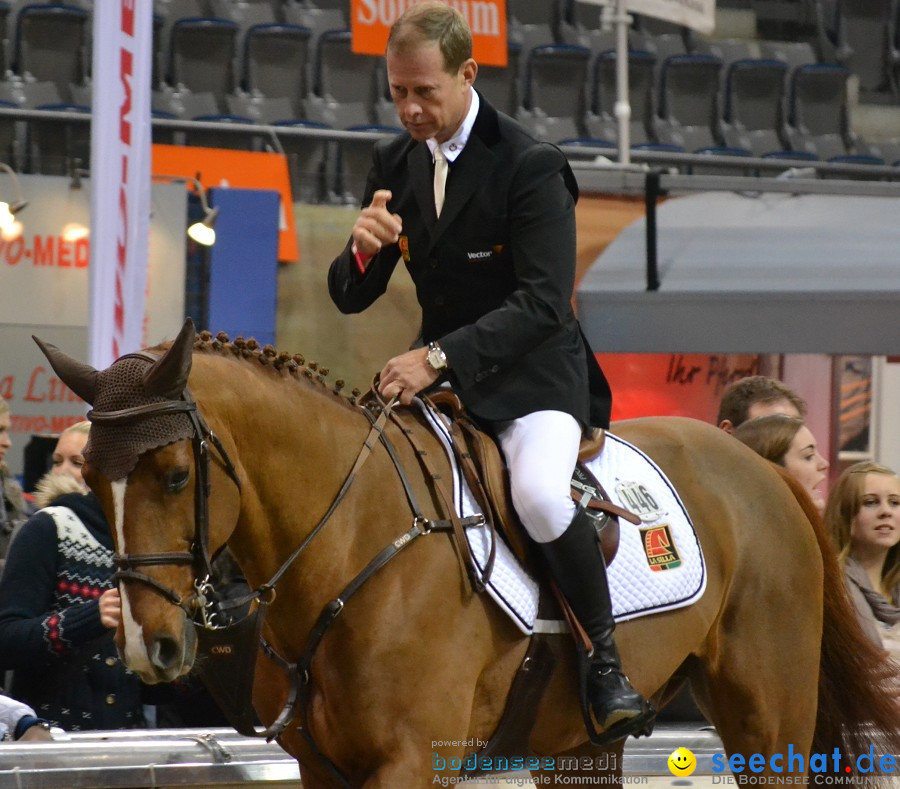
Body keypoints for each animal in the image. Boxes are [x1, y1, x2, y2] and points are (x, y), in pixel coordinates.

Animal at [38, 322, 900, 788]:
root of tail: (762, 468)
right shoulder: (324, 766)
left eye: (176, 475)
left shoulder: (414, 759)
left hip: (766, 711)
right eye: (92, 481)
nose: (148, 647)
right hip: (584, 743)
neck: (349, 547)